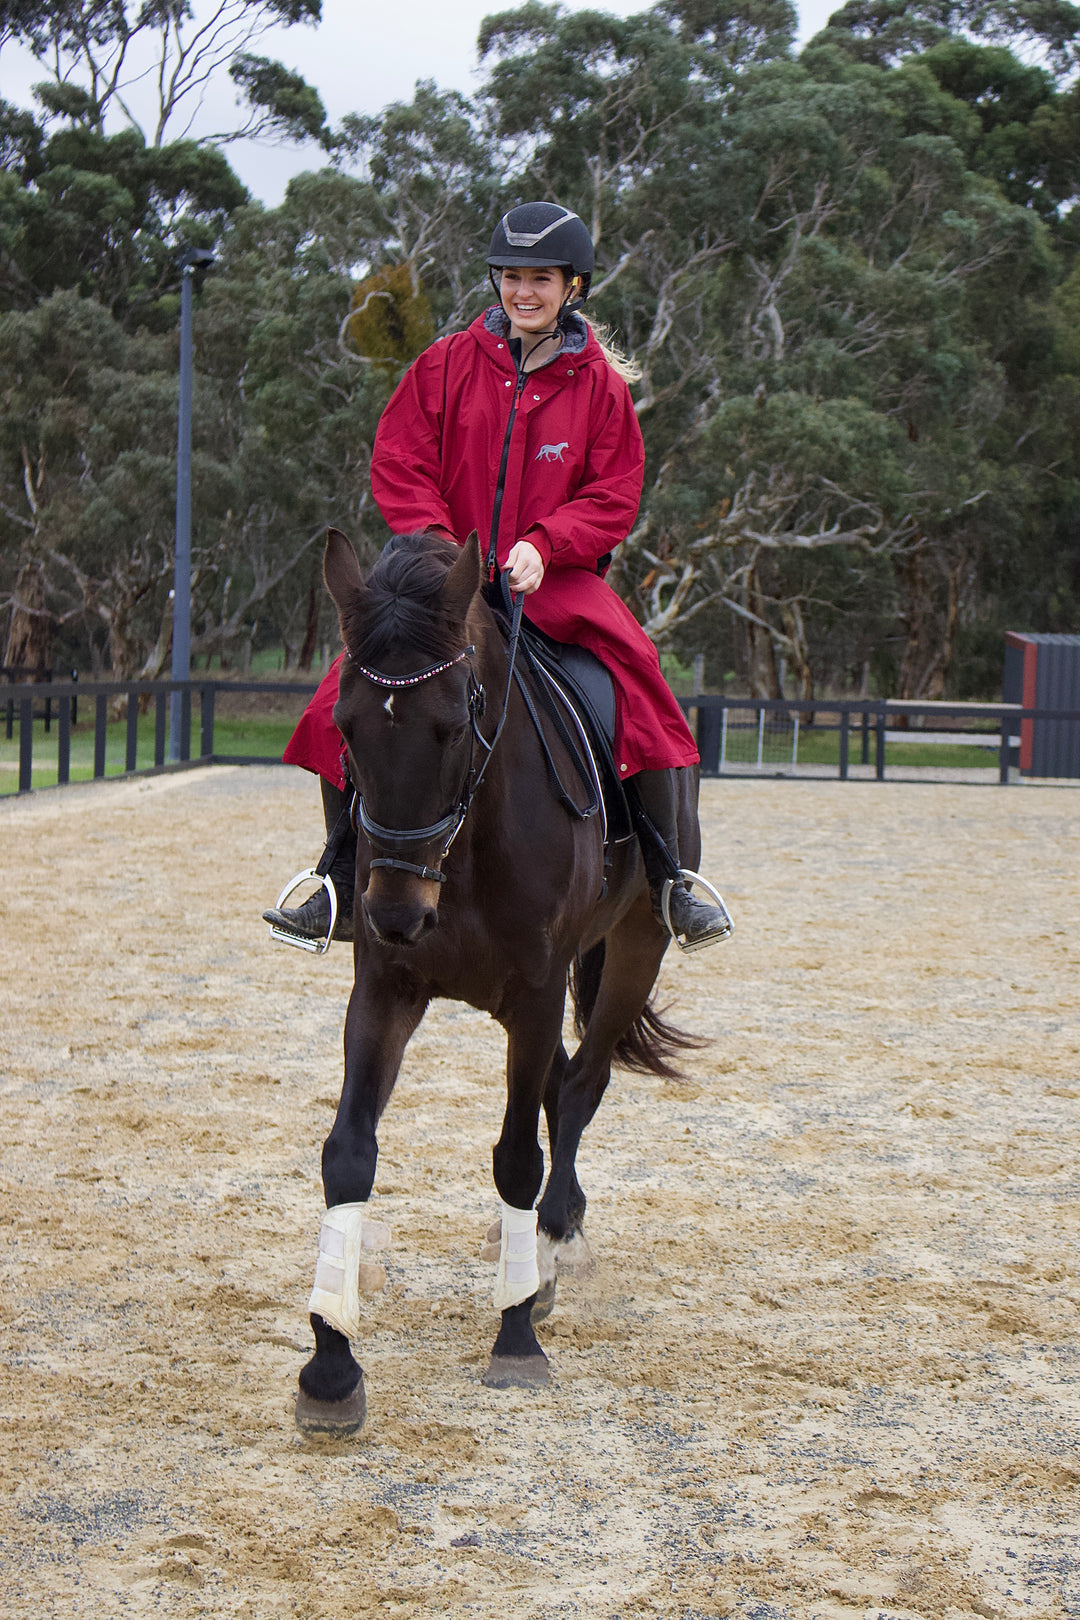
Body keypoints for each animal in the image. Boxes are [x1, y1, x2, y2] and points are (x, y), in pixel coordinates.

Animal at [296, 528, 705, 1432]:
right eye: (344, 729)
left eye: (453, 727)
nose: (397, 912)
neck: (468, 846)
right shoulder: (385, 987)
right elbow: (349, 1151)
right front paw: (331, 1360)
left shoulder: (538, 991)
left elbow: (518, 1155)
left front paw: (515, 1335)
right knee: (562, 1082)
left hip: (635, 948)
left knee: (581, 1086)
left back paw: (550, 1244)